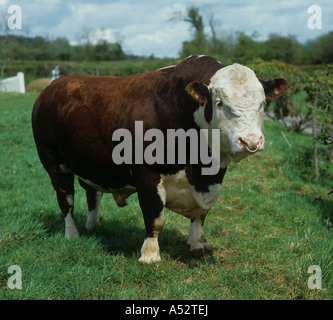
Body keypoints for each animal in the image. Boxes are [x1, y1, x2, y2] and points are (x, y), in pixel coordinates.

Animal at [32, 55, 290, 264]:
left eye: (263, 103)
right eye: (219, 102)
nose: (251, 141)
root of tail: (52, 86)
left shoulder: (211, 180)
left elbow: (201, 214)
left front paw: (198, 245)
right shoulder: (147, 174)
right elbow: (155, 217)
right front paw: (150, 255)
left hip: (92, 164)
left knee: (92, 194)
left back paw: (93, 226)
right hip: (54, 164)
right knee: (66, 200)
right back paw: (72, 234)